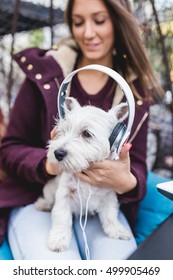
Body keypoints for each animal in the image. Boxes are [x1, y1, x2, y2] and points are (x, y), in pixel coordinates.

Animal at [35, 97, 130, 253]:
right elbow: (61, 217)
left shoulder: (109, 194)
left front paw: (117, 230)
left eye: (86, 133)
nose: (58, 153)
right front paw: (58, 240)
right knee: (48, 199)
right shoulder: (64, 194)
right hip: (49, 189)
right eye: (63, 131)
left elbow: (110, 214)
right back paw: (43, 204)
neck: (85, 169)